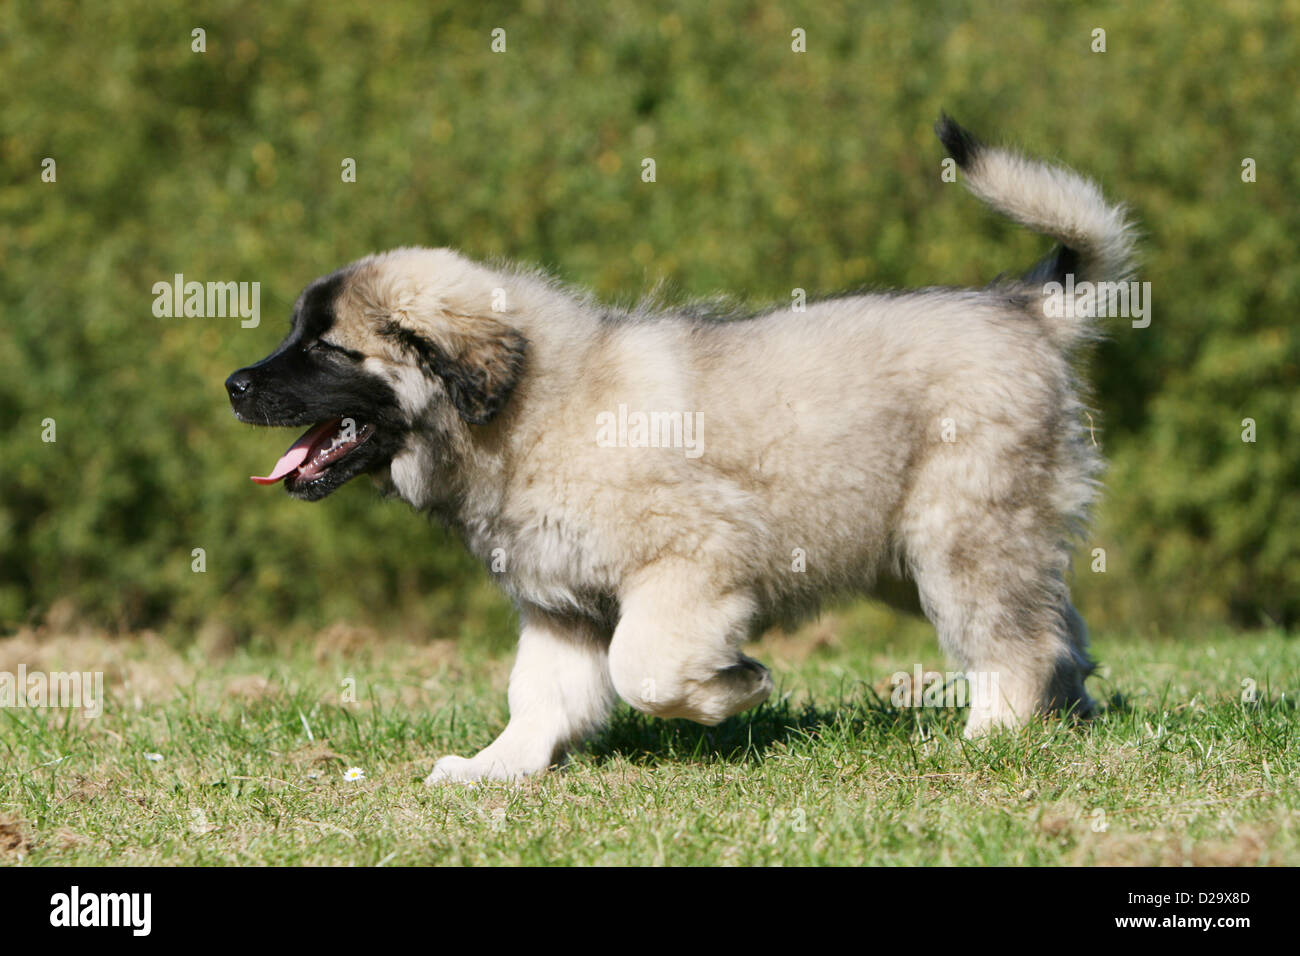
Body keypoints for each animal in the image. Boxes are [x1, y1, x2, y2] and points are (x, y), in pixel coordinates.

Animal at [228, 117, 1133, 785]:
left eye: (327, 350)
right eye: (294, 335)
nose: (234, 385)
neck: (531, 408)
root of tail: (1026, 308)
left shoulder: (695, 559)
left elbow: (645, 668)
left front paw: (737, 687)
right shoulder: (562, 604)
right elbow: (540, 695)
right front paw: (498, 766)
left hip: (959, 532)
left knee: (1013, 642)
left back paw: (990, 737)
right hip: (916, 554)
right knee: (1057, 626)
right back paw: (1066, 718)